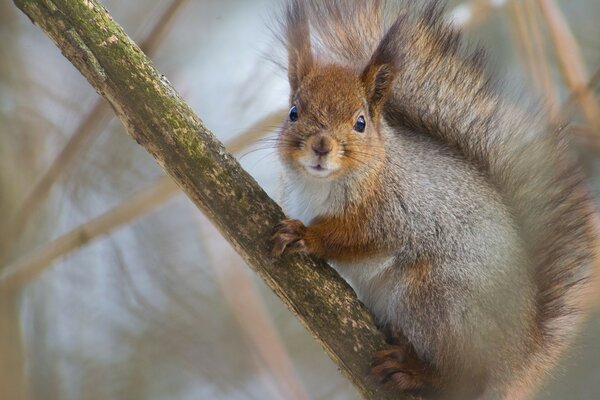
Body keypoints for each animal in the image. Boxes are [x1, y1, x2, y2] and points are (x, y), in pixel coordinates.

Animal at [270, 1, 600, 398]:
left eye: (360, 122)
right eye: (293, 112)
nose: (321, 147)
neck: (324, 184)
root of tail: (516, 362)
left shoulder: (397, 210)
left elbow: (356, 237)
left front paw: (307, 236)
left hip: (436, 299)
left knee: (467, 377)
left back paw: (415, 371)